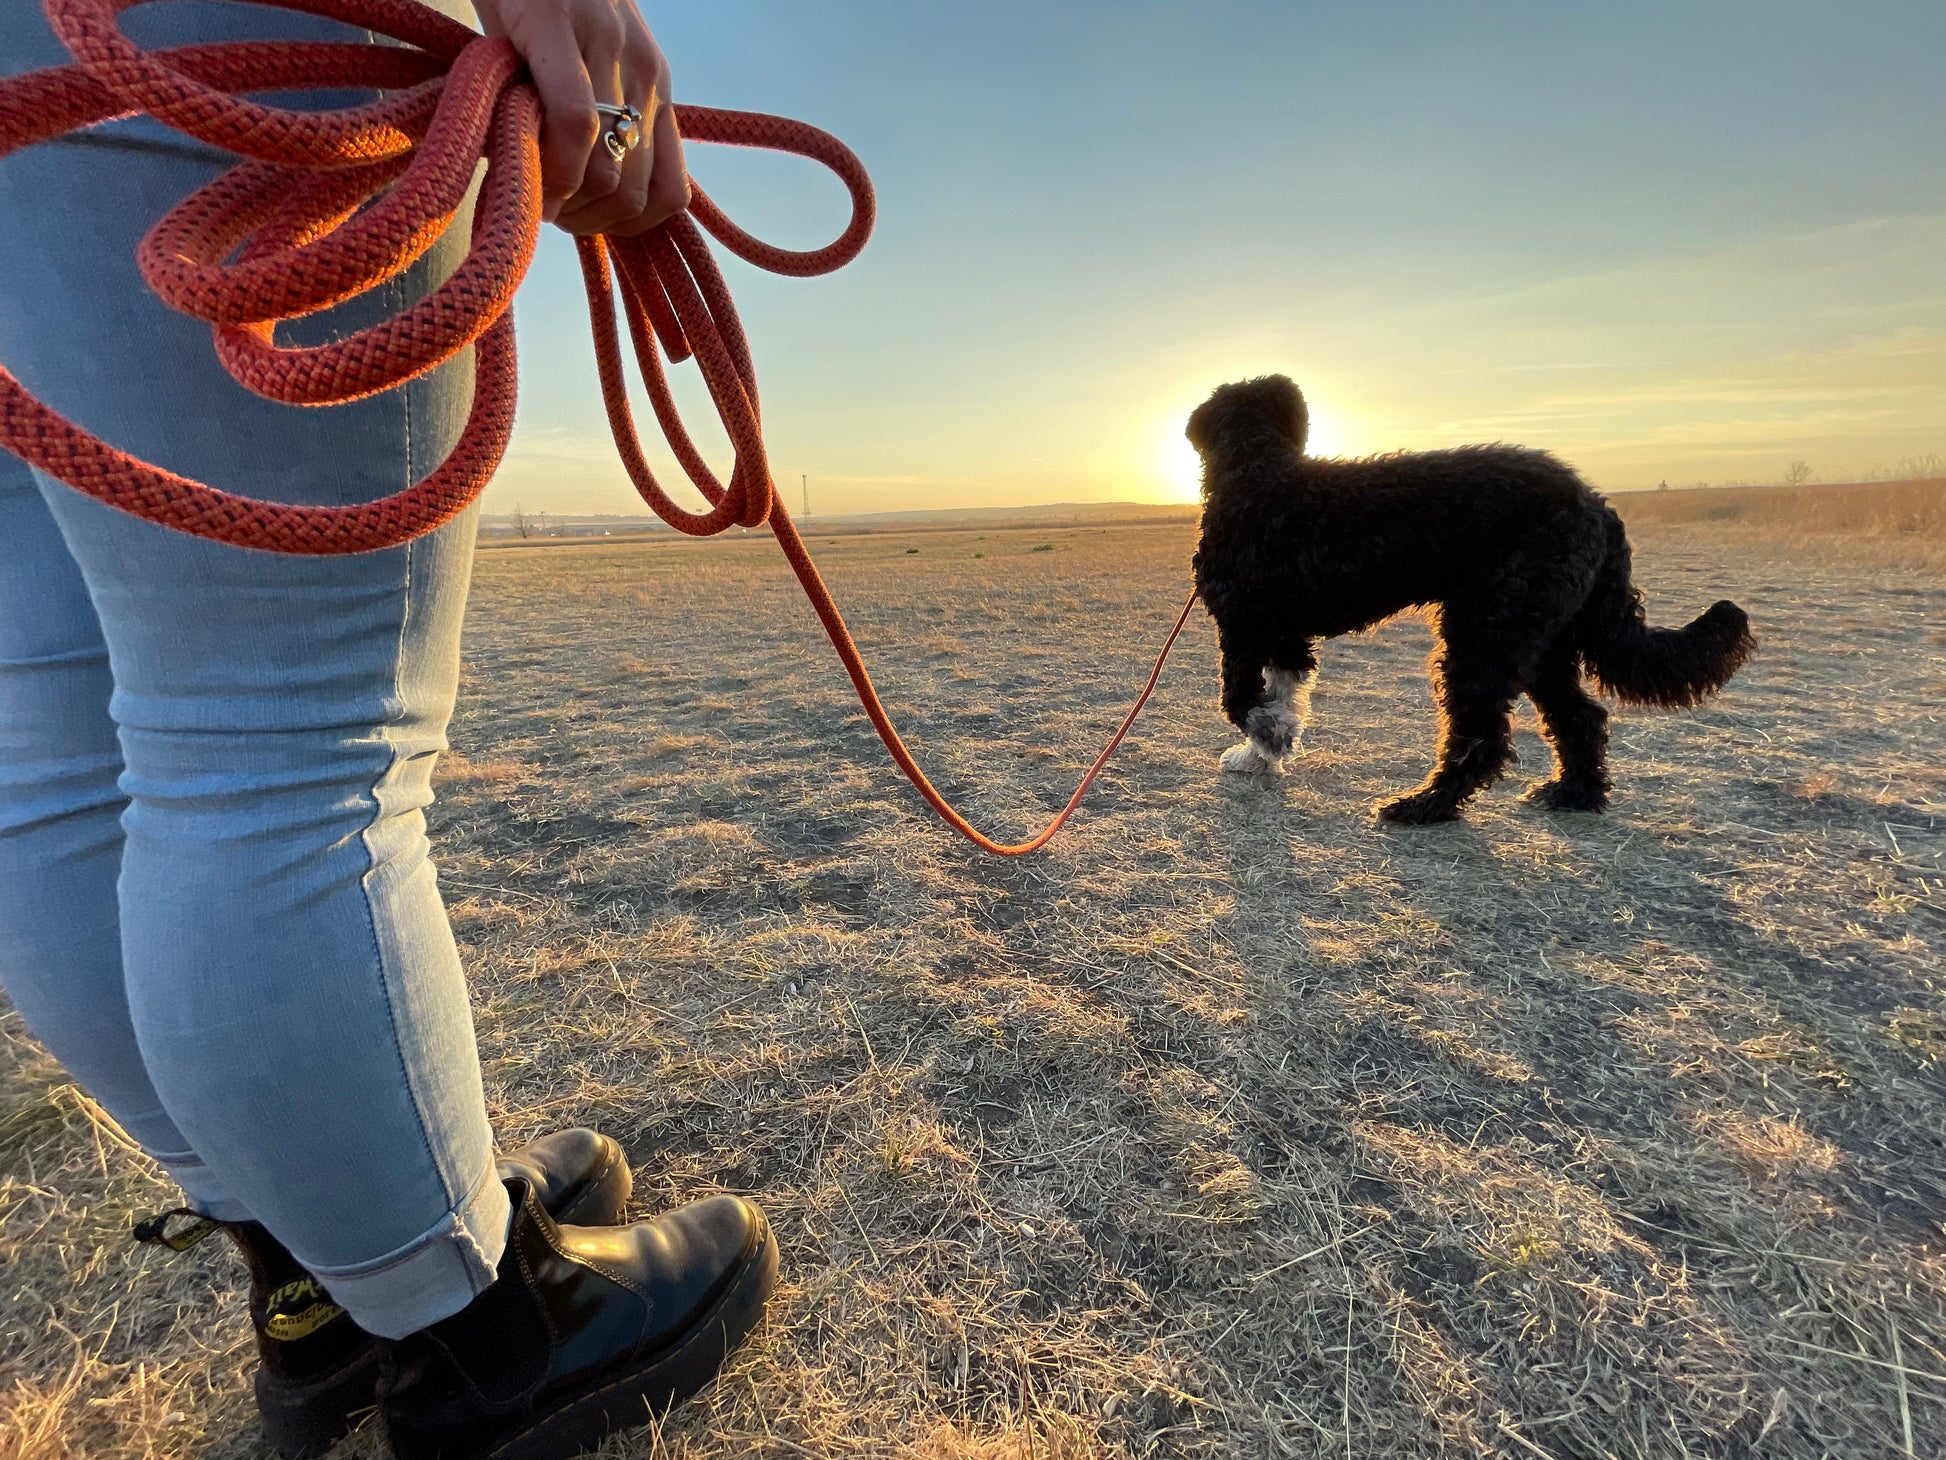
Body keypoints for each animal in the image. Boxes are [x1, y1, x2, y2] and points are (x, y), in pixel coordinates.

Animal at [1190, 373, 1759, 825]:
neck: (1259, 472)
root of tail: (1597, 505)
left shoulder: (1242, 624)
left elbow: (1240, 699)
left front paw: (1268, 737)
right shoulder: (1284, 634)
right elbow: (1281, 692)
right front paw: (1264, 752)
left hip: (1486, 633)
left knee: (1483, 739)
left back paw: (1426, 806)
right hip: (1543, 639)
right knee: (1580, 718)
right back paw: (1575, 794)